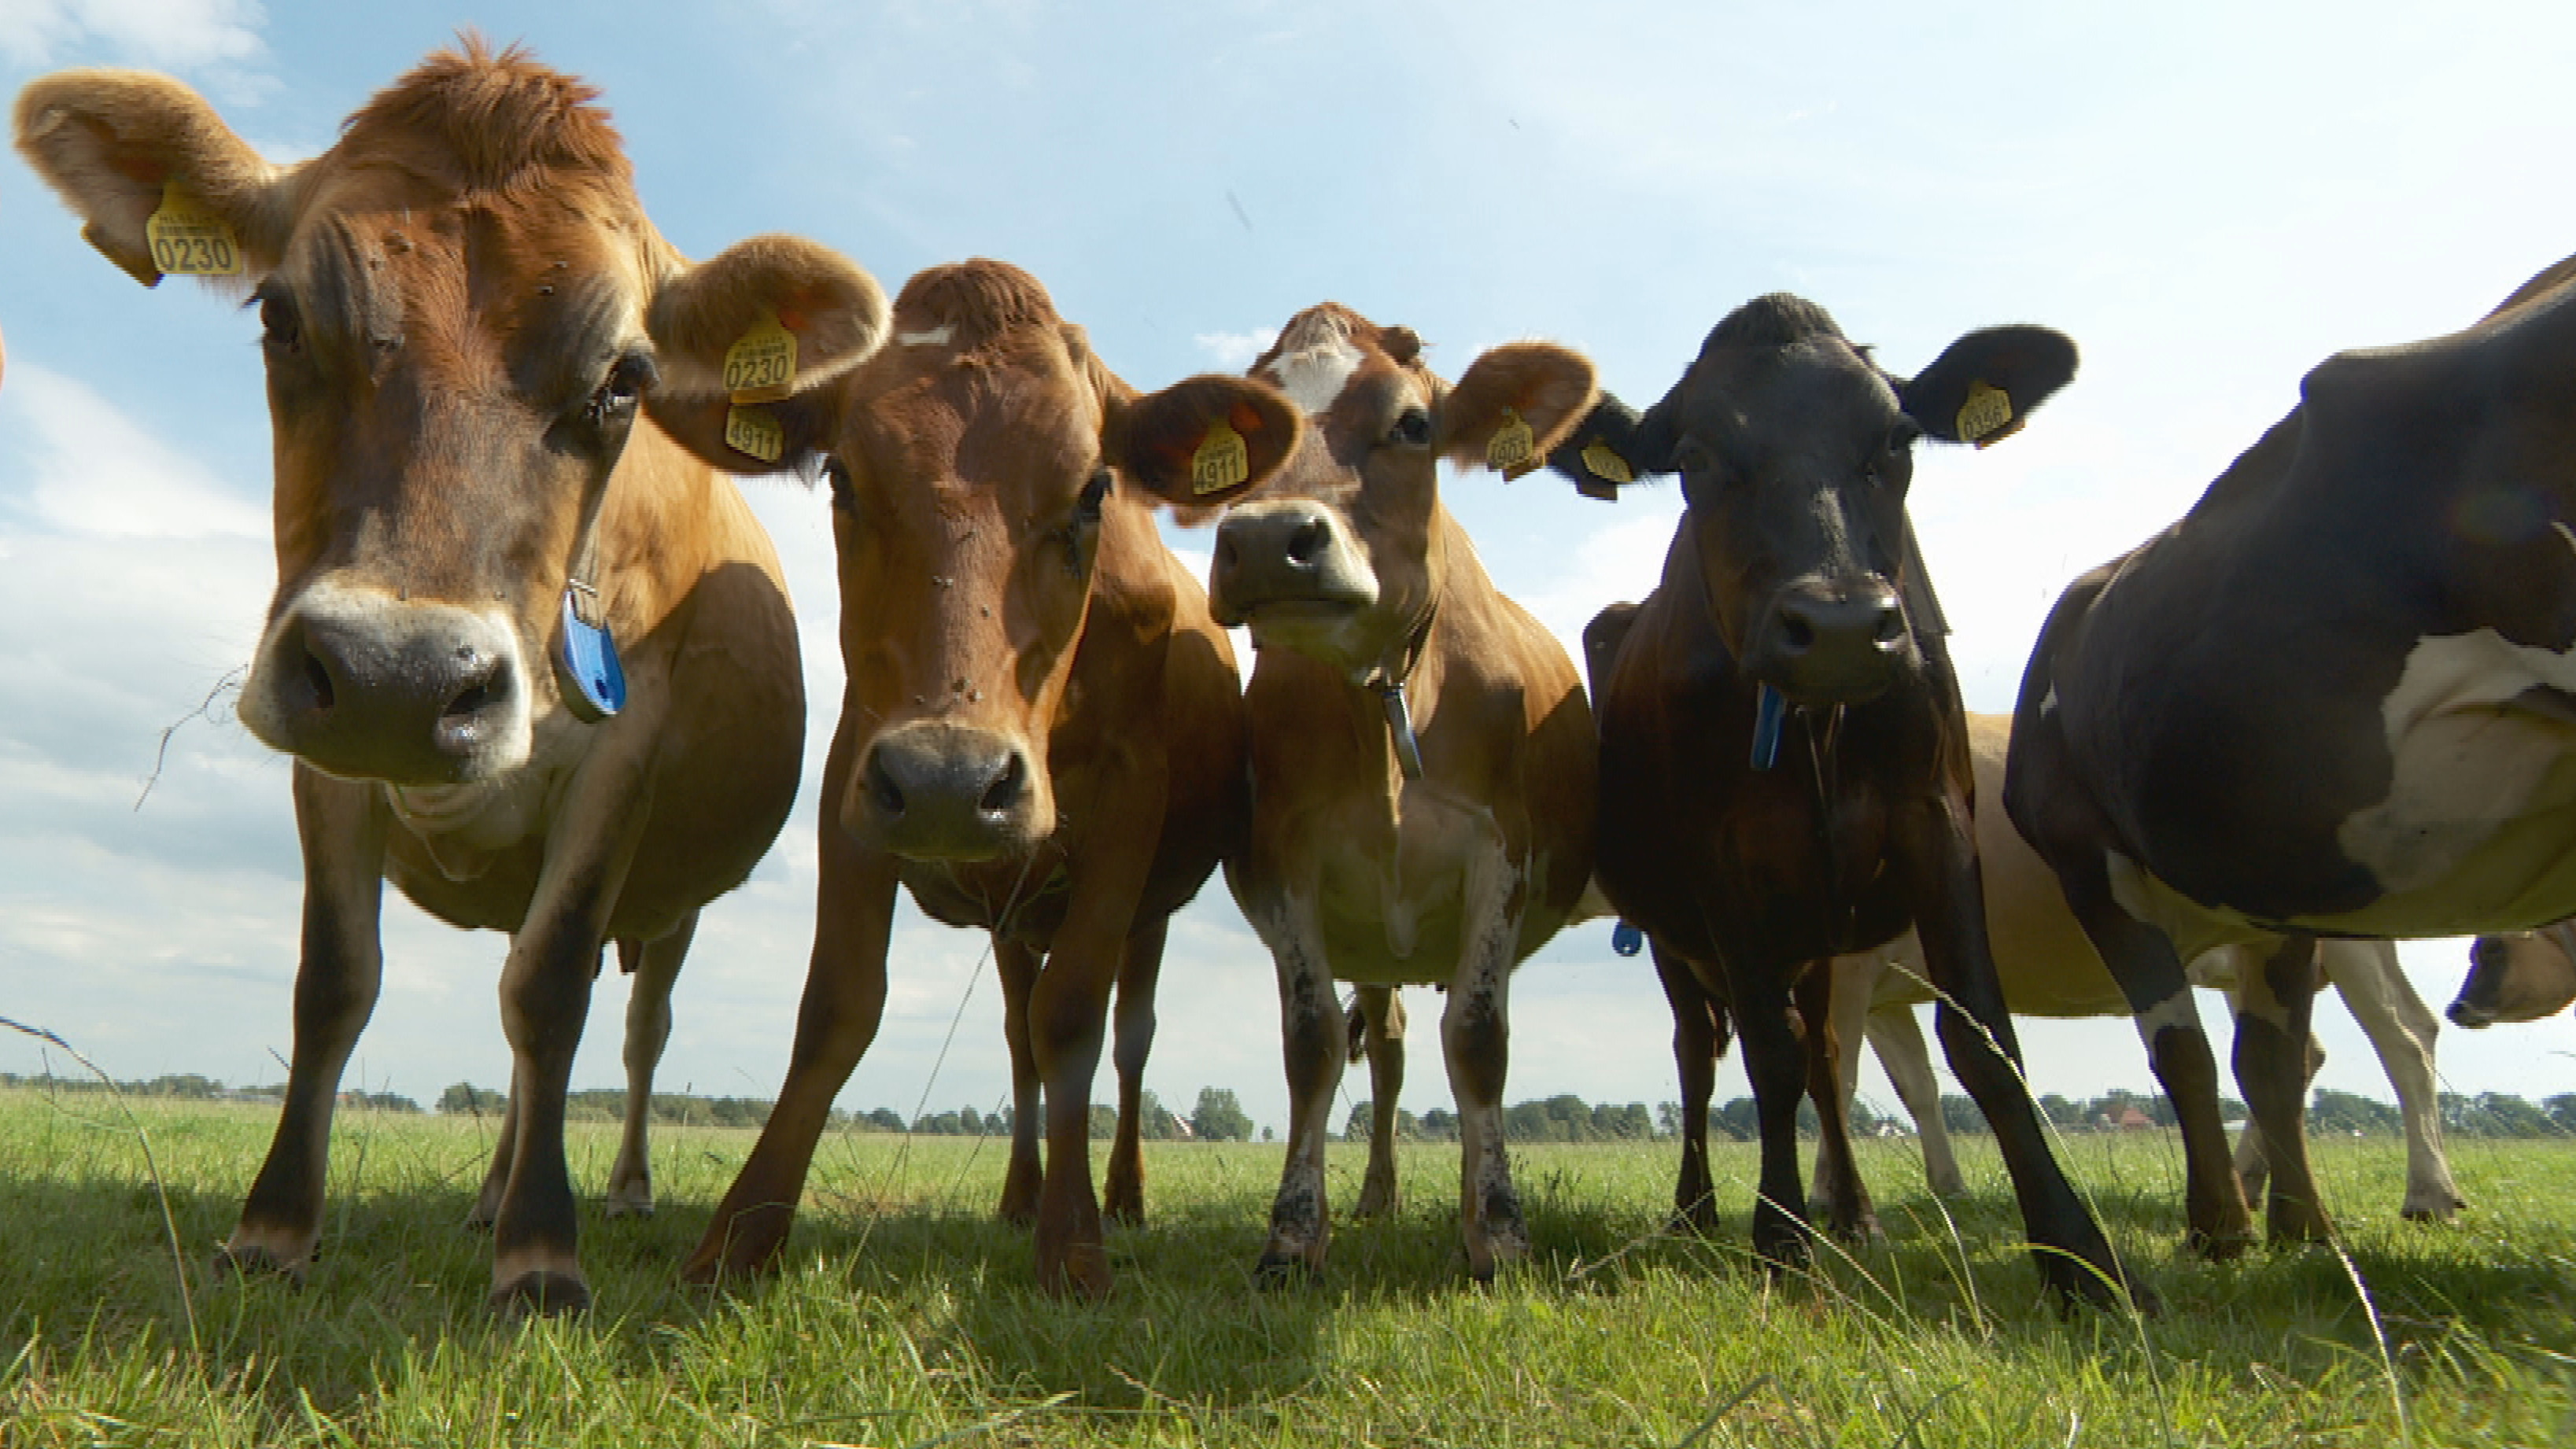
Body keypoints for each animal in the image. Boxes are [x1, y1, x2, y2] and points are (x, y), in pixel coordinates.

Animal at [13, 43, 892, 1312]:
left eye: (624, 381)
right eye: (281, 316)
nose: (401, 676)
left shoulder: (624, 763)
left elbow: (554, 988)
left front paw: (542, 1252)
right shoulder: (323, 734)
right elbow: (337, 979)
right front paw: (273, 1229)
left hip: (675, 903)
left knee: (633, 1027)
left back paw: (613, 1190)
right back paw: (485, 1194)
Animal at [641, 256, 1297, 1299]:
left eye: (1092, 492)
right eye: (842, 477)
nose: (954, 780)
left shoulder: (1130, 808)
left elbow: (1075, 1016)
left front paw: (1075, 1249)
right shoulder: (859, 778)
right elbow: (839, 1004)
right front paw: (739, 1236)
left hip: (1144, 910)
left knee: (1125, 1037)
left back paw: (1121, 1196)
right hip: (1011, 911)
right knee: (1018, 1039)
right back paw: (1019, 1194)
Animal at [1121, 304, 1598, 1282]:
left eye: (1413, 425)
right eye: (1255, 444)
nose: (1269, 540)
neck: (1386, 697)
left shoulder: (1502, 855)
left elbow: (1479, 1041)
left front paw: (1497, 1229)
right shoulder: (1287, 864)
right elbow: (1311, 1047)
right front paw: (1294, 1234)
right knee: (1386, 1049)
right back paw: (1378, 1196)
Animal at [1550, 293, 2143, 1310]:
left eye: (1896, 439)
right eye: (1695, 457)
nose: (1835, 628)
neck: (1817, 729)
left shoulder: (1934, 821)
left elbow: (1979, 1037)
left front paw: (2074, 1255)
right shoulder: (1718, 865)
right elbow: (1766, 1055)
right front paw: (1779, 1239)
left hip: (1819, 935)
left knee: (1827, 1054)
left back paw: (1857, 1214)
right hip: (1672, 936)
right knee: (1701, 1054)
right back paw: (1697, 1210)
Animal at [1810, 714, 2465, 1223]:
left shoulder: (1849, 965)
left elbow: (1840, 1080)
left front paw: (1827, 1195)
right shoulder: (1884, 991)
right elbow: (1914, 1085)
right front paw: (1945, 1187)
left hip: (2346, 939)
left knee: (2404, 1037)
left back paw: (2428, 1192)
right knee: (2308, 1051)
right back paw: (2252, 1180)